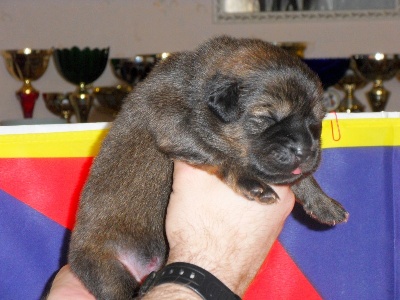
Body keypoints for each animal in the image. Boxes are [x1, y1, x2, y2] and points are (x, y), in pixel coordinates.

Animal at [69, 36, 350, 298]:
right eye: (267, 118)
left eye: (316, 122)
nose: (305, 151)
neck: (199, 89)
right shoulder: (174, 127)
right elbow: (220, 155)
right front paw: (251, 182)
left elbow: (300, 177)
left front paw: (323, 202)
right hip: (108, 269)